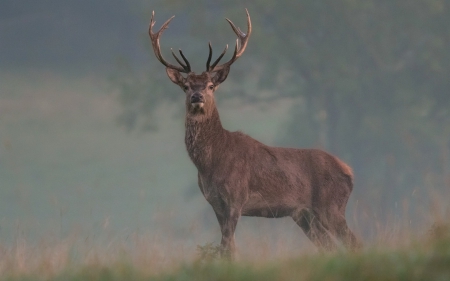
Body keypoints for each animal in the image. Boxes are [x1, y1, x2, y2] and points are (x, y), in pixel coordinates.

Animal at [149, 8, 360, 258]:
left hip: (331, 206)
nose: (197, 97)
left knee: (354, 241)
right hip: (304, 215)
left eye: (211, 85)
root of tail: (349, 171)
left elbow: (227, 247)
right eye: (186, 86)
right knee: (329, 245)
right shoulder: (215, 203)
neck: (210, 162)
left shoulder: (236, 197)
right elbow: (228, 247)